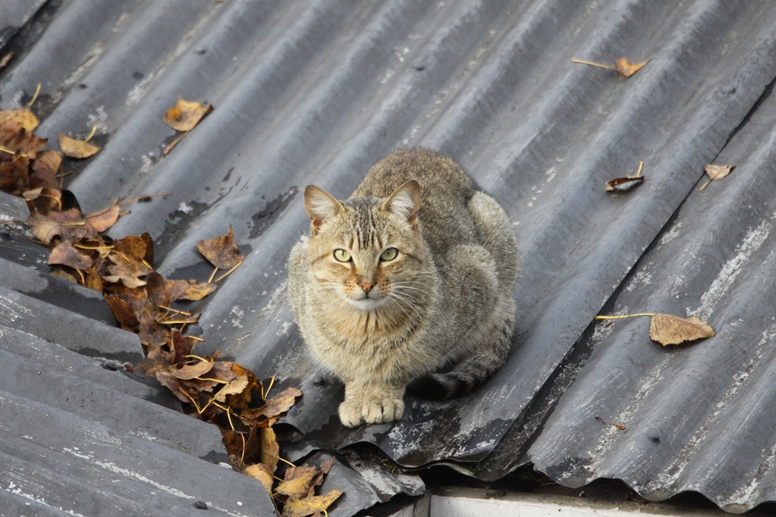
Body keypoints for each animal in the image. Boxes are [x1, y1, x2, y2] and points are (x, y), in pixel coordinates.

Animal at [288, 147, 520, 426]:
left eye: (389, 254)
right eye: (342, 255)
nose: (366, 283)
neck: (366, 327)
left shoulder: (479, 272)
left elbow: (404, 364)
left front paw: (382, 394)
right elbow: (349, 369)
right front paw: (357, 395)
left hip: (495, 240)